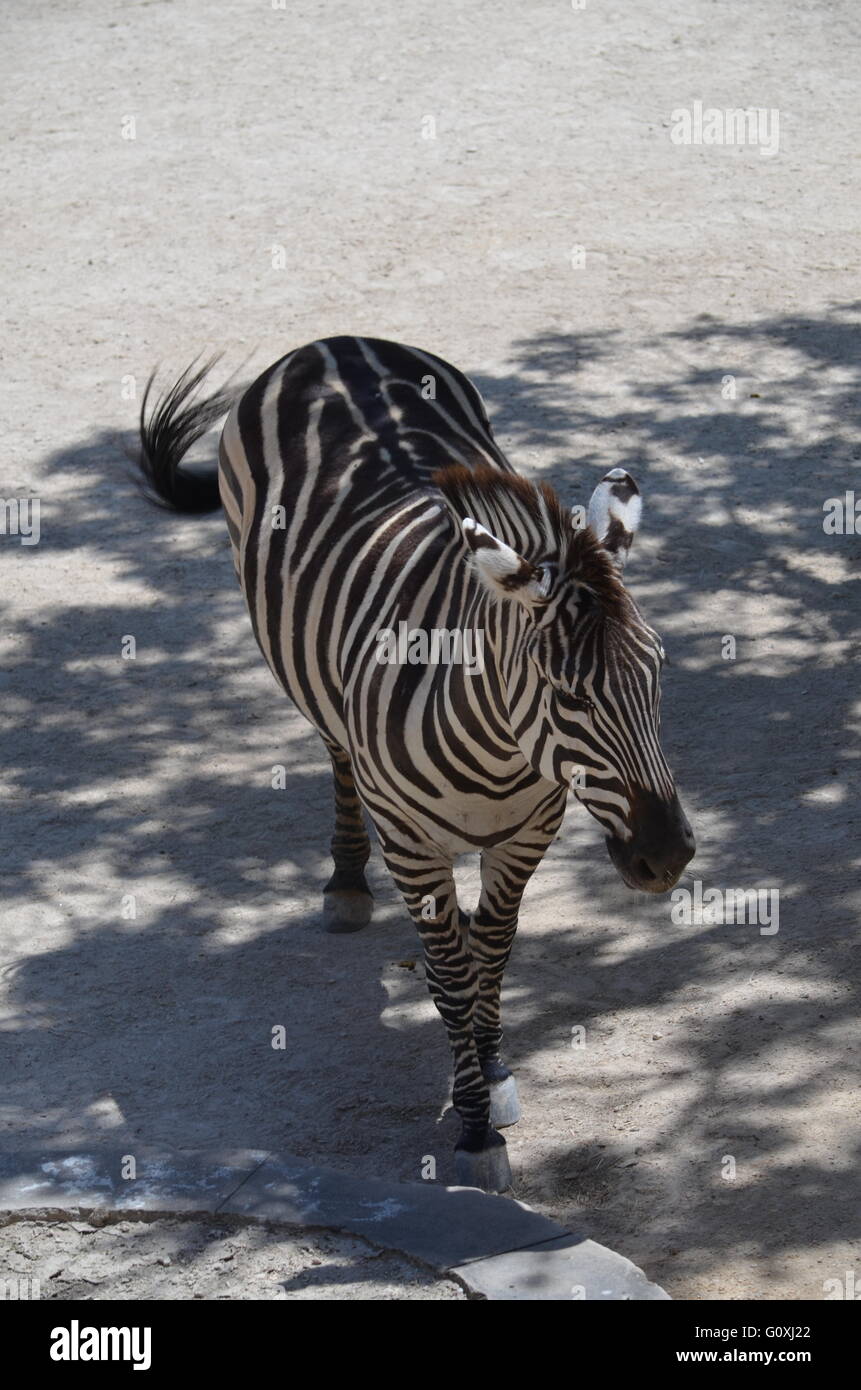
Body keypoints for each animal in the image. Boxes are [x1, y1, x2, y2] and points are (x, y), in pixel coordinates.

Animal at [136, 335, 695, 1192]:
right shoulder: (409, 840)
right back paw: (344, 883)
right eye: (568, 694)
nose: (666, 856)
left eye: (658, 671)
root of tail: (335, 342)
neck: (499, 750)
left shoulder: (527, 832)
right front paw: (471, 1130)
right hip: (302, 674)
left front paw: (491, 1068)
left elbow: (491, 953)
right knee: (334, 752)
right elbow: (456, 973)